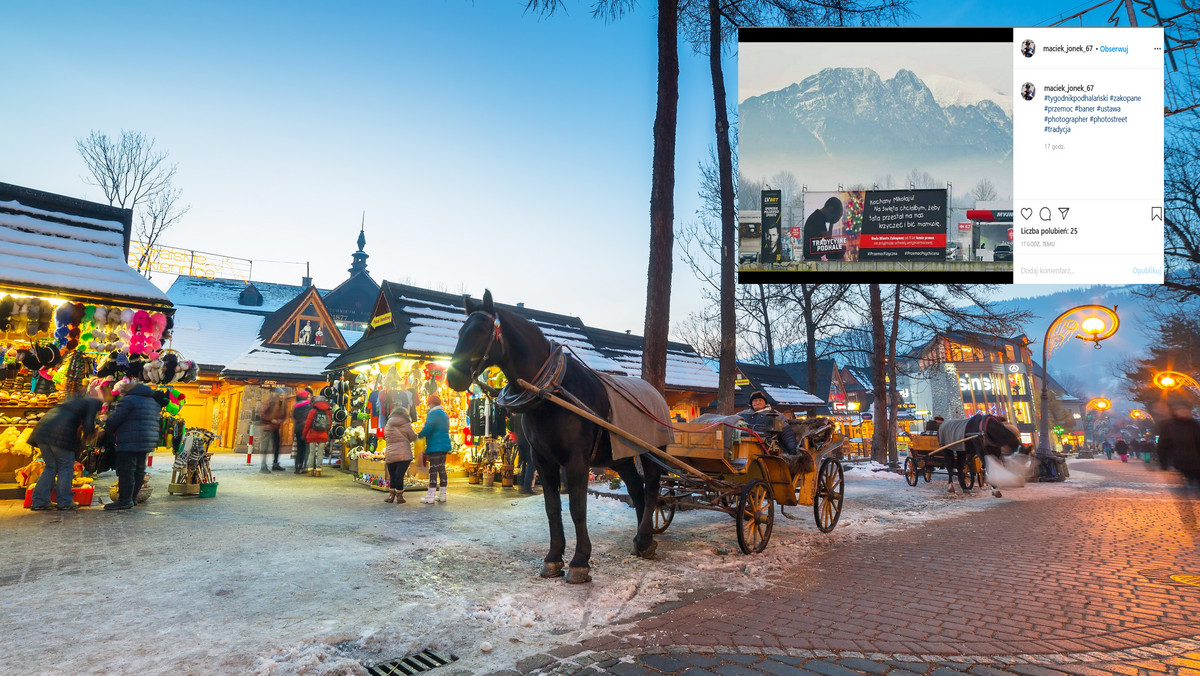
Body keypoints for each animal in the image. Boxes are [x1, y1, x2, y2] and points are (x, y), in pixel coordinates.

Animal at [446, 288, 667, 583]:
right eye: (461, 331)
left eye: (481, 330)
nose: (453, 377)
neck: (551, 392)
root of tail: (654, 392)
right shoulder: (542, 459)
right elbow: (552, 508)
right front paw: (553, 558)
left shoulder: (576, 461)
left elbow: (577, 507)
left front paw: (580, 561)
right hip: (620, 456)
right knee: (636, 488)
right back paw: (642, 542)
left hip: (653, 451)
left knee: (652, 486)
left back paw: (644, 537)